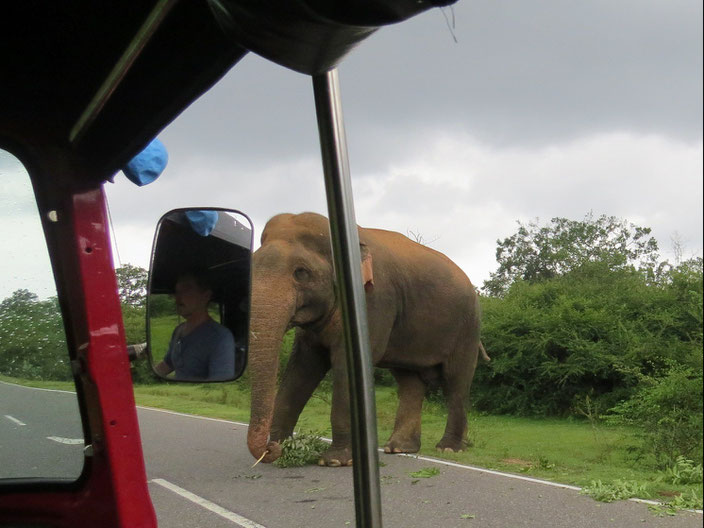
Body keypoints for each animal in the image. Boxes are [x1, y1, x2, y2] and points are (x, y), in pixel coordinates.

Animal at [245, 211, 482, 466]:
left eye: (301, 272)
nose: (270, 448)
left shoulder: (373, 301)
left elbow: (345, 364)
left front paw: (334, 461)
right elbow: (304, 366)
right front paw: (285, 451)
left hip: (467, 328)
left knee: (456, 380)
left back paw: (449, 449)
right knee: (409, 382)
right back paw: (399, 448)